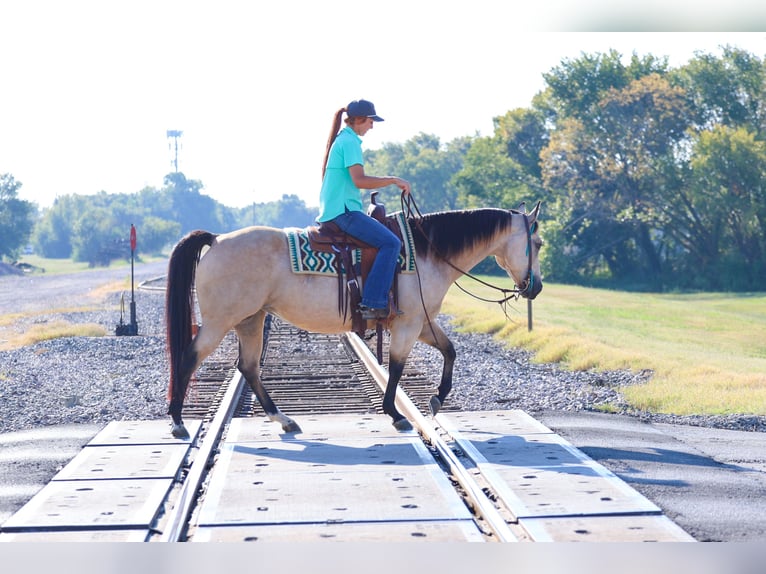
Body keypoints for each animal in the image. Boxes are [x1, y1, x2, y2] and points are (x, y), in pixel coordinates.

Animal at [165, 202, 543, 439]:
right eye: (537, 242)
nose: (536, 287)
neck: (427, 252)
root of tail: (216, 240)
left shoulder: (421, 323)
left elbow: (449, 351)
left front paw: (437, 398)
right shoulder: (408, 325)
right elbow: (396, 368)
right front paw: (396, 414)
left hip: (250, 319)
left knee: (248, 367)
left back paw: (284, 420)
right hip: (221, 321)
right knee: (188, 358)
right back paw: (178, 422)